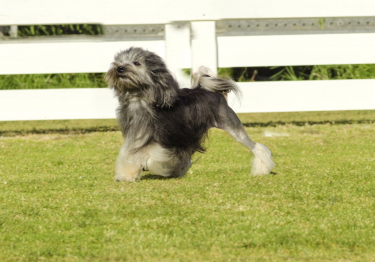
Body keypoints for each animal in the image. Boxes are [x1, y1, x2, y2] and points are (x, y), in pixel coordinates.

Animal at [104, 47, 274, 181]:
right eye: (118, 61)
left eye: (136, 63)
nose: (119, 68)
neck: (140, 98)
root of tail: (213, 92)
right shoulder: (136, 134)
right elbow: (129, 153)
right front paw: (127, 175)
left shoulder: (162, 137)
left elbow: (152, 155)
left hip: (231, 125)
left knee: (255, 146)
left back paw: (262, 169)